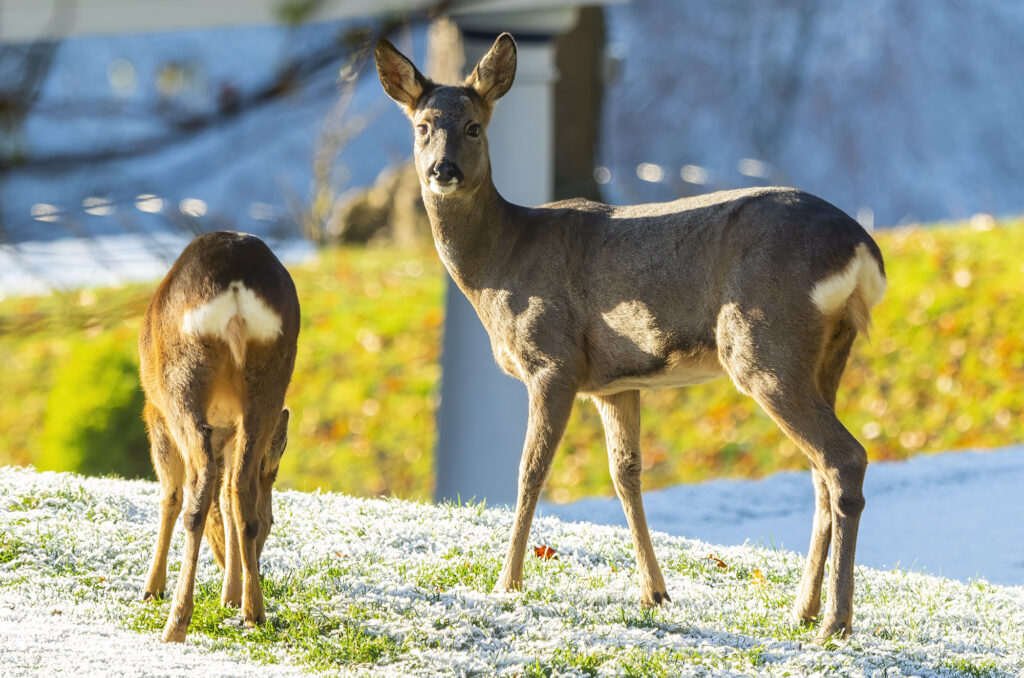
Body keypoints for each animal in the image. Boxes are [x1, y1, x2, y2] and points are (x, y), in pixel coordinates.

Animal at [137, 232, 296, 643]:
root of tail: (237, 288)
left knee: (198, 487)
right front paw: (231, 595)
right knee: (240, 488)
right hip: (270, 379)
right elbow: (226, 500)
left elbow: (169, 495)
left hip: (181, 382)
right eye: (274, 522)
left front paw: (151, 589)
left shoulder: (155, 416)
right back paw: (253, 611)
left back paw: (176, 622)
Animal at [372, 33, 884, 643]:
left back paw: (835, 620)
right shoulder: (614, 382)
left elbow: (530, 470)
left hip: (764, 345)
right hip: (828, 352)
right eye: (422, 125)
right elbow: (626, 474)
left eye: (474, 126)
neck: (501, 262)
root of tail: (862, 249)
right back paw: (801, 610)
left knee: (844, 458)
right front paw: (654, 593)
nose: (442, 170)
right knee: (819, 473)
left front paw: (507, 584)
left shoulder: (553, 359)